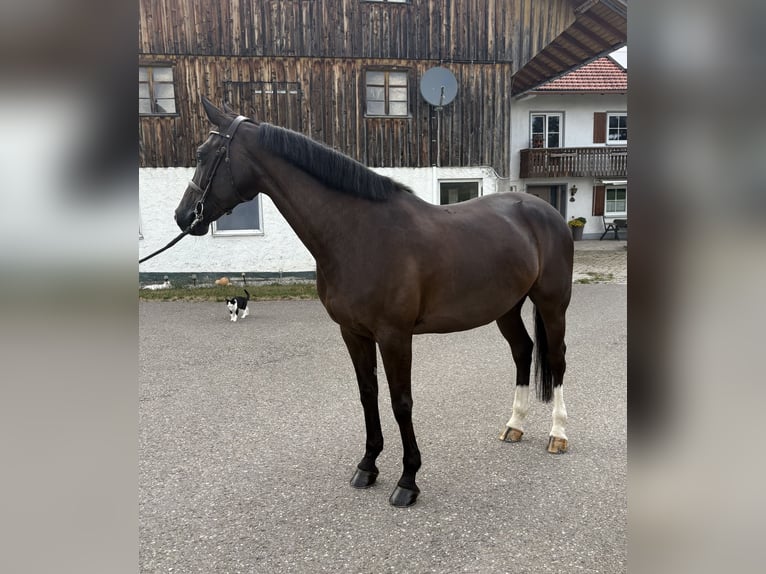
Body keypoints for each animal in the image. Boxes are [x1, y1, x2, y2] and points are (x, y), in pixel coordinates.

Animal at [174, 97, 574, 507]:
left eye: (204, 154)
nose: (183, 216)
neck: (358, 234)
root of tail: (545, 210)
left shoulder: (394, 335)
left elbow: (401, 402)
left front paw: (408, 480)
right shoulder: (353, 332)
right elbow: (368, 395)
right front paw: (367, 466)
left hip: (552, 302)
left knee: (556, 358)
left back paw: (558, 434)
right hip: (506, 307)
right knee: (523, 351)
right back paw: (515, 425)